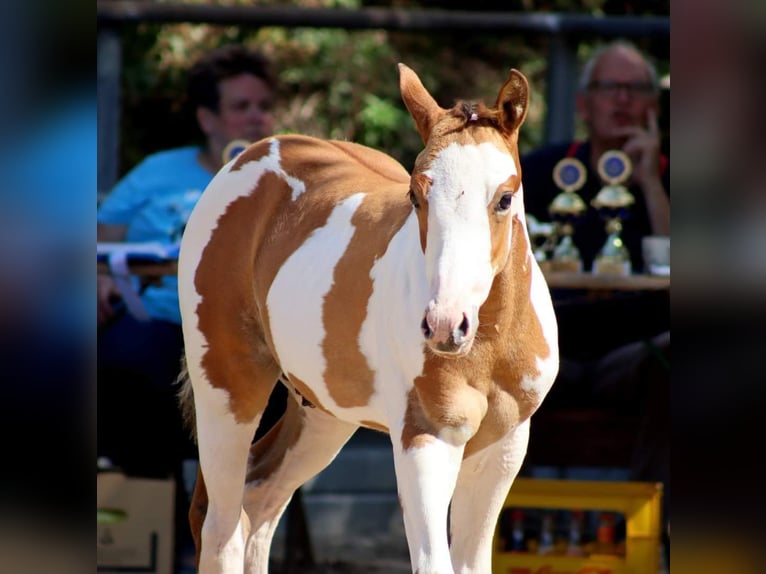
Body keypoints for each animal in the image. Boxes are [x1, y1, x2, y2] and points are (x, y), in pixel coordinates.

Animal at [179, 64, 560, 574]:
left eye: (504, 198)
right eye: (415, 195)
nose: (445, 325)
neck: (491, 342)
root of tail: (253, 155)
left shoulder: (504, 445)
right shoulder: (426, 439)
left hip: (322, 412)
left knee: (258, 500)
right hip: (228, 389)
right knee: (221, 527)